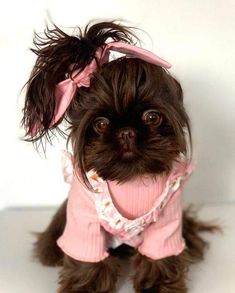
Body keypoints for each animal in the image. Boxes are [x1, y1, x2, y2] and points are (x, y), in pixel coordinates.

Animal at [21, 20, 216, 292]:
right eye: (101, 124)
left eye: (152, 117)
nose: (126, 132)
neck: (130, 180)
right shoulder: (83, 219)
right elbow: (87, 258)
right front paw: (85, 286)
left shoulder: (169, 218)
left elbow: (159, 255)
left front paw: (159, 284)